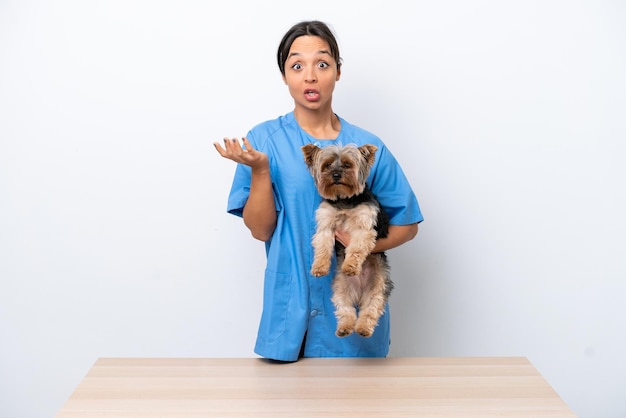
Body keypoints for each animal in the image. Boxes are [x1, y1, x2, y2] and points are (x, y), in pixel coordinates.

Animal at [302, 142, 390, 338]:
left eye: (347, 165)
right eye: (327, 165)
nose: (336, 175)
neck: (343, 199)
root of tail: (359, 293)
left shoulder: (363, 227)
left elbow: (356, 248)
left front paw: (350, 266)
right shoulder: (326, 225)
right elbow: (322, 247)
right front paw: (319, 267)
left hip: (379, 285)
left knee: (371, 308)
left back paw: (363, 328)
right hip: (340, 288)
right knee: (345, 309)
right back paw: (345, 327)